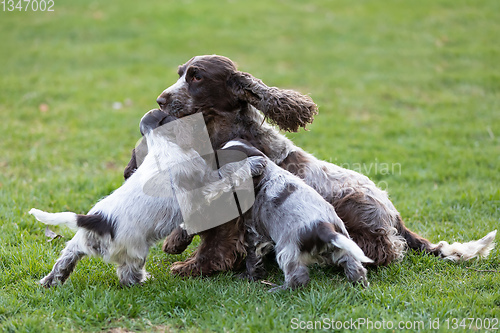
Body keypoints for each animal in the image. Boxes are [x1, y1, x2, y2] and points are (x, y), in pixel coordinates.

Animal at [29, 109, 229, 286]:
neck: (161, 143)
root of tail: (97, 220)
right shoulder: (204, 182)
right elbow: (224, 176)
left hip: (76, 245)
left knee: (62, 264)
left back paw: (48, 283)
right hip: (135, 250)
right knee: (128, 273)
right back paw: (143, 281)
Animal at [205, 137, 374, 288]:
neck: (266, 173)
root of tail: (325, 228)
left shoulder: (254, 232)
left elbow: (253, 258)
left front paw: (249, 277)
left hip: (287, 250)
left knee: (298, 277)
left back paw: (279, 289)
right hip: (343, 243)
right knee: (354, 266)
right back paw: (360, 284)